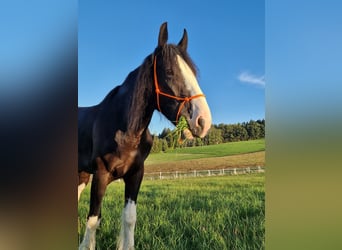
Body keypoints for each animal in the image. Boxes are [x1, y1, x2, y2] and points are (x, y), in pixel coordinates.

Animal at [78, 22, 211, 249]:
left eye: (193, 73)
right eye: (169, 72)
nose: (203, 121)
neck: (125, 133)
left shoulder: (135, 174)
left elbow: (129, 218)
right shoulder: (101, 175)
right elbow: (93, 219)